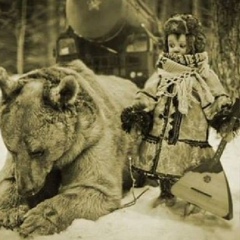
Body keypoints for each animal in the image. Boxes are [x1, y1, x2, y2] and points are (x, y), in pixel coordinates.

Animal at [0, 60, 140, 236]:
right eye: (11, 149)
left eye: (38, 151)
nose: (26, 189)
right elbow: (7, 179)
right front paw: (11, 212)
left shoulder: (92, 142)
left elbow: (94, 187)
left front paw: (35, 221)